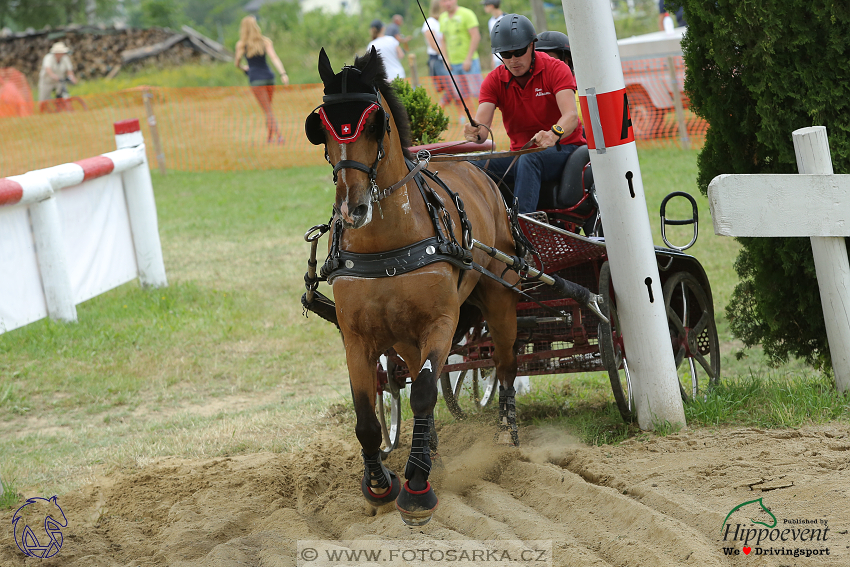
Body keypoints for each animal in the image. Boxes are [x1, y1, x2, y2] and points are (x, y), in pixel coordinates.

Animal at [302, 48, 520, 528]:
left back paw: (506, 431)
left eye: (374, 122)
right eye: (321, 125)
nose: (352, 207)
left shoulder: (441, 322)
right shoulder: (357, 338)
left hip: (499, 298)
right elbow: (367, 415)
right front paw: (380, 484)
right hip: (402, 335)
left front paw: (417, 488)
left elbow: (422, 392)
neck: (388, 243)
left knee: (505, 364)